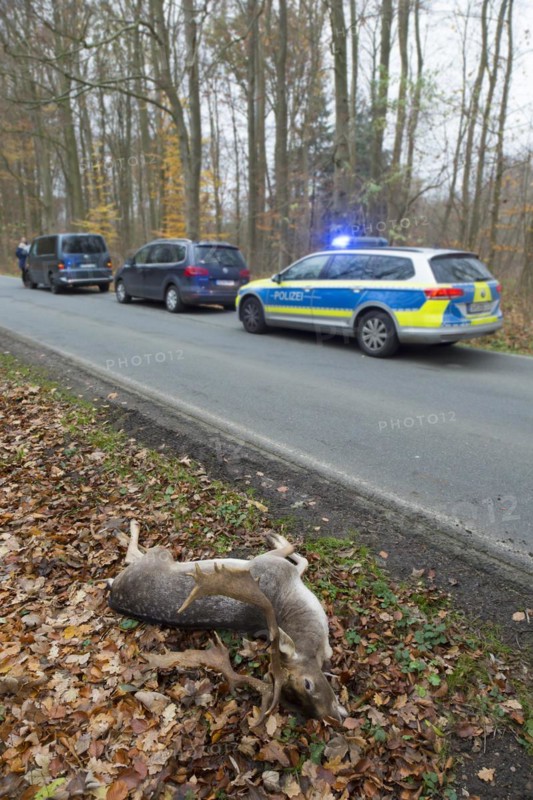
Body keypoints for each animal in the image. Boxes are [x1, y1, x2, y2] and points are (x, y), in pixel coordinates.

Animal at [108, 521, 346, 724]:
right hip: (161, 553)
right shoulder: (267, 563)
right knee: (134, 555)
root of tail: (113, 595)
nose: (333, 719)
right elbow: (294, 552)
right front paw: (275, 537)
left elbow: (302, 559)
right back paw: (130, 525)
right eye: (307, 684)